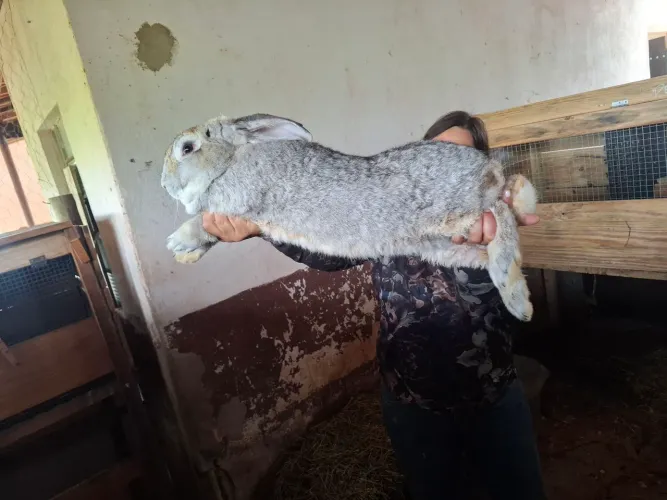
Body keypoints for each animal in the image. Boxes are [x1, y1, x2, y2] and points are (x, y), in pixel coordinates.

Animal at [161, 113, 537, 321]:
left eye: (187, 148)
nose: (164, 185)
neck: (233, 159)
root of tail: (489, 168)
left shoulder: (238, 199)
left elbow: (202, 220)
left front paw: (178, 241)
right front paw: (185, 257)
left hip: (460, 212)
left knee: (502, 216)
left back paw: (516, 296)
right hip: (442, 246)